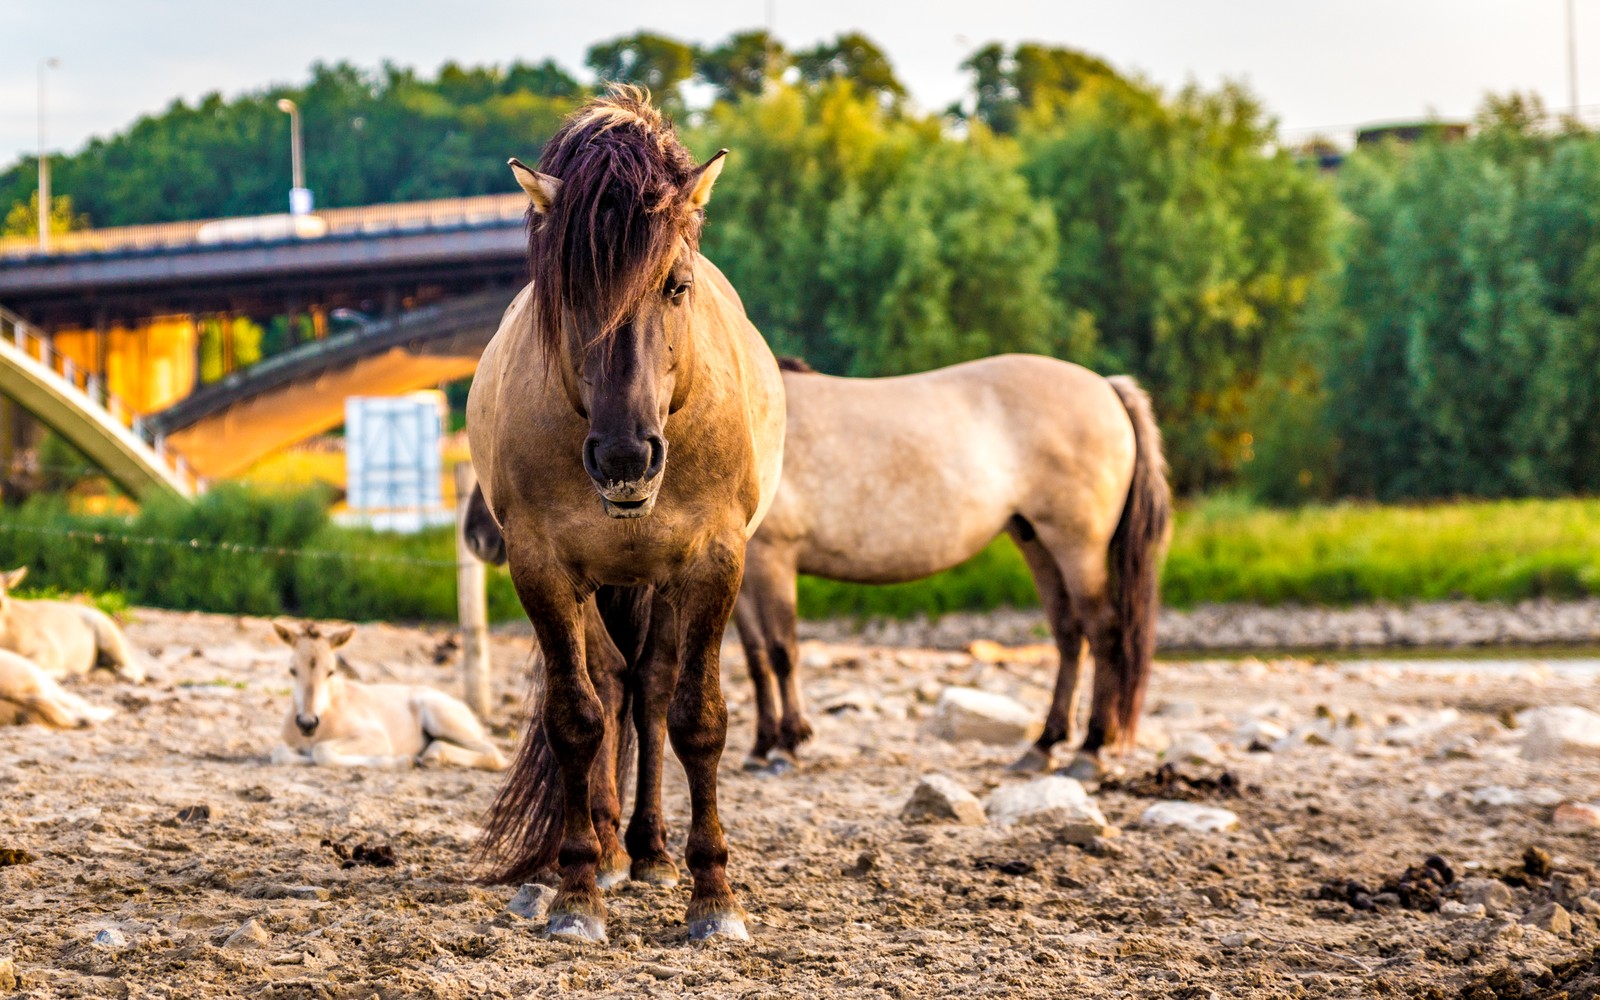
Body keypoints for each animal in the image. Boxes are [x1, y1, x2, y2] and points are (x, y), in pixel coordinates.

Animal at [0, 566, 147, 681]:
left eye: (1, 601)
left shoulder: (49, 648)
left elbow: (32, 663)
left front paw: (58, 673)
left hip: (107, 631)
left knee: (129, 663)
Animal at [268, 617, 505, 771]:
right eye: (292, 670)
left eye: (331, 671)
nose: (307, 723)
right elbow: (280, 753)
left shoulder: (376, 737)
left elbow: (321, 752)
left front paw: (401, 761)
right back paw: (430, 757)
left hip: (443, 719)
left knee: (494, 754)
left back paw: (427, 757)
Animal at [467, 87, 784, 940]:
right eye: (571, 293)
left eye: (676, 285)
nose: (624, 458)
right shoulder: (542, 567)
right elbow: (576, 717)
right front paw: (577, 890)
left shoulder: (713, 563)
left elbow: (697, 718)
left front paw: (714, 896)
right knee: (612, 686)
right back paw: (611, 851)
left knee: (649, 690)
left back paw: (652, 851)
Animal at [742, 358, 1171, 780]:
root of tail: (1107, 386)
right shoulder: (743, 575)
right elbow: (756, 659)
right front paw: (760, 747)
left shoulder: (773, 557)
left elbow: (782, 651)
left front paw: (786, 746)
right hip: (1038, 545)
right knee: (1069, 636)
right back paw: (1043, 746)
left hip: (1077, 549)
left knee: (1104, 633)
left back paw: (1090, 749)